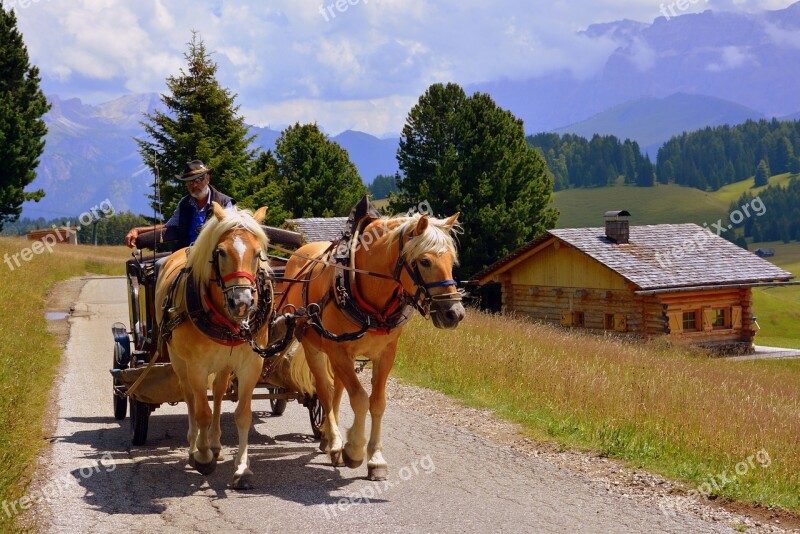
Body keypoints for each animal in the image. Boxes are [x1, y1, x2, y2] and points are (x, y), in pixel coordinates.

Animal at [155, 203, 290, 492]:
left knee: (217, 393)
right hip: (179, 361)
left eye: (258, 254)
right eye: (221, 252)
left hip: (225, 364)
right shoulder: (196, 366)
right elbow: (202, 411)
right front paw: (203, 457)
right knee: (190, 398)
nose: (242, 302)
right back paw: (194, 445)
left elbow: (242, 415)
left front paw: (241, 469)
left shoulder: (250, 364)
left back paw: (215, 443)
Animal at [280, 202, 462, 482]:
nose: (454, 313)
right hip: (314, 347)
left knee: (337, 389)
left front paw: (375, 458)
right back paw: (334, 441)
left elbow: (377, 403)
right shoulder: (338, 351)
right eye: (425, 261)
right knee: (324, 390)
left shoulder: (385, 354)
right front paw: (353, 450)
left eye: (451, 260)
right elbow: (359, 399)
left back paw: (326, 438)